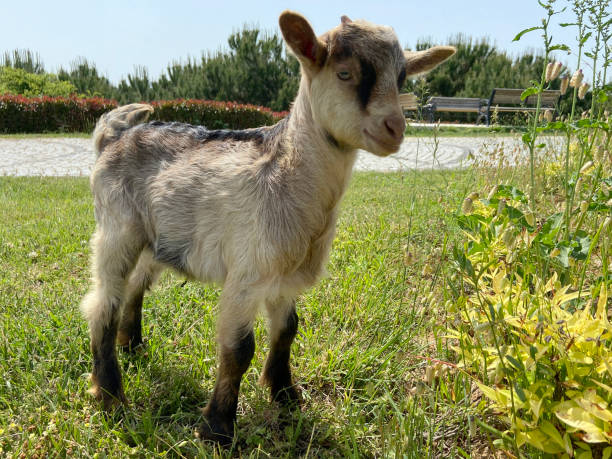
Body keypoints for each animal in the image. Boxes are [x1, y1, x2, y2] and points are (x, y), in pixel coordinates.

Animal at [81, 9, 454, 442]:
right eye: (344, 73)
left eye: (401, 79)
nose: (395, 128)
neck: (285, 172)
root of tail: (113, 137)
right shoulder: (248, 272)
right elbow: (239, 348)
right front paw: (218, 428)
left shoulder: (286, 274)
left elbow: (288, 329)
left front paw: (286, 396)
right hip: (116, 228)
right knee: (102, 302)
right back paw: (111, 396)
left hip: (157, 237)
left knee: (136, 285)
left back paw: (133, 346)